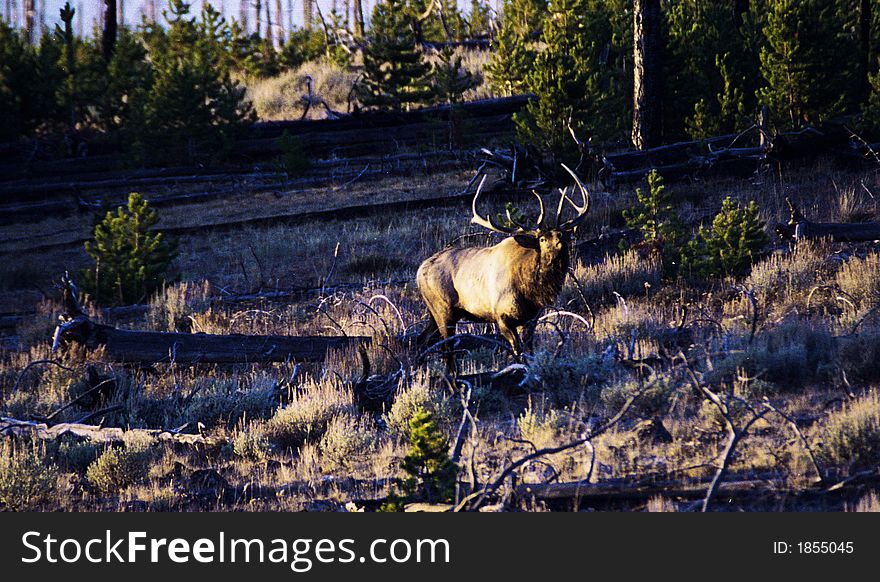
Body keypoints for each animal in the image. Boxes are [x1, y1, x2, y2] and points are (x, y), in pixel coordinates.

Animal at [414, 165, 592, 360]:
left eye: (562, 234)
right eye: (542, 239)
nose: (561, 242)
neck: (531, 290)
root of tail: (419, 272)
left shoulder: (531, 317)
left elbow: (529, 349)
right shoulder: (501, 316)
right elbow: (517, 350)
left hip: (435, 312)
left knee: (422, 340)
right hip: (444, 310)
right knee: (446, 349)